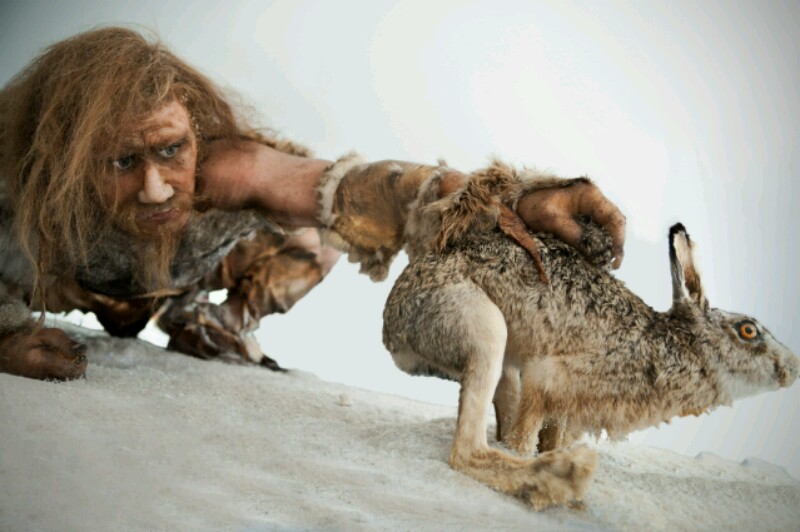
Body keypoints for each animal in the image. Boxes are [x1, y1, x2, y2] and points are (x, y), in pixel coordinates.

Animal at [382, 169, 799, 510]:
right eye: (748, 330)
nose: (793, 368)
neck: (679, 347)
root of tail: (392, 324)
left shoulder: (567, 409)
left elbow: (551, 434)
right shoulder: (550, 380)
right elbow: (526, 436)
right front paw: (540, 462)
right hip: (482, 330)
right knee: (466, 452)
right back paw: (559, 476)